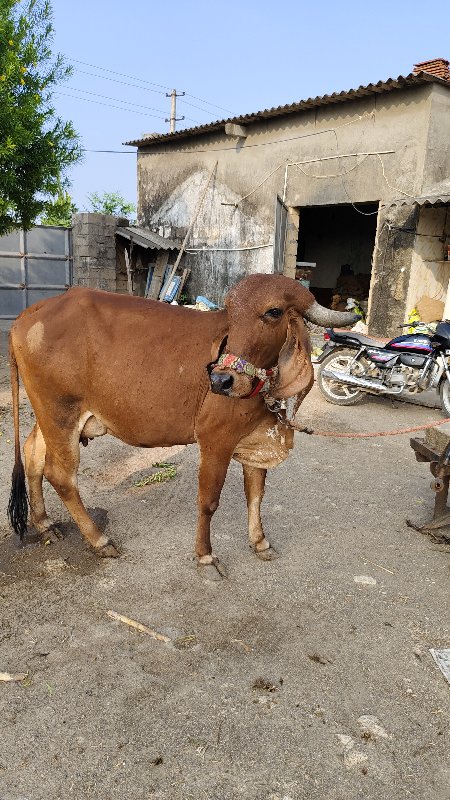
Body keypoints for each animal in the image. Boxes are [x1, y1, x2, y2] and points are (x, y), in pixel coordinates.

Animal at [7, 274, 356, 576]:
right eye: (231, 314)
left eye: (273, 312)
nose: (220, 380)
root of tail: (28, 314)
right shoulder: (216, 440)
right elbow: (209, 501)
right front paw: (205, 556)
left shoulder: (255, 443)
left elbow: (256, 495)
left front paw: (260, 542)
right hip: (60, 414)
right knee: (61, 476)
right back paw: (99, 540)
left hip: (50, 417)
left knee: (33, 454)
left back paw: (44, 523)